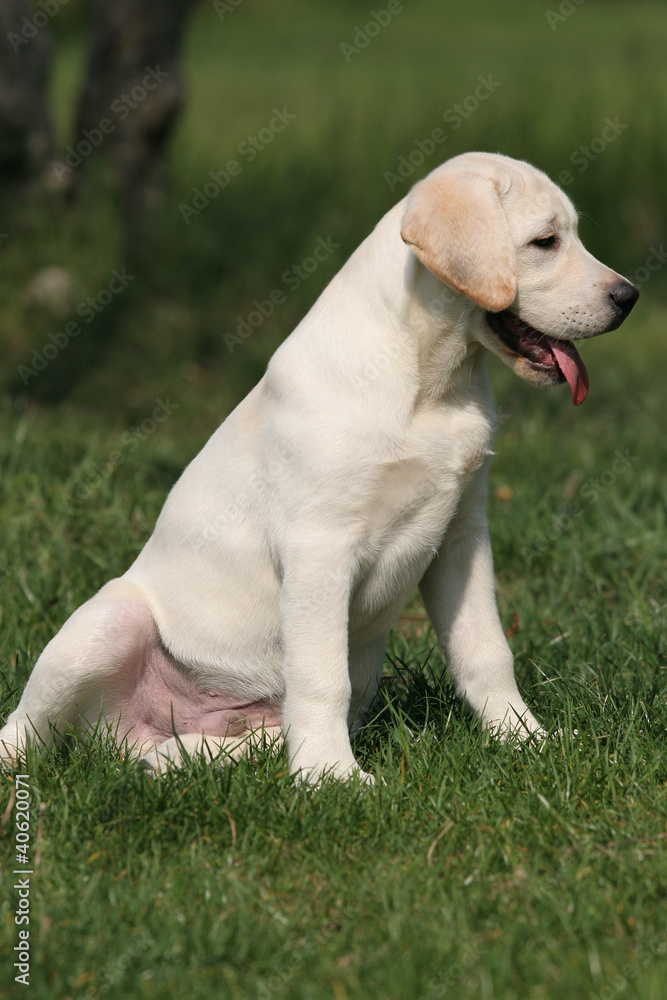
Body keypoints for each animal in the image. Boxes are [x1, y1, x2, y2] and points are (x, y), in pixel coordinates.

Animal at [0, 152, 640, 784]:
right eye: (545, 241)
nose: (629, 297)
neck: (432, 384)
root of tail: (115, 733)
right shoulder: (320, 548)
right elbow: (321, 675)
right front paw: (333, 778)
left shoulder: (462, 535)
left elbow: (486, 652)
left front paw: (527, 741)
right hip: (106, 624)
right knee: (25, 729)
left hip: (214, 731)